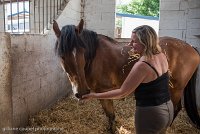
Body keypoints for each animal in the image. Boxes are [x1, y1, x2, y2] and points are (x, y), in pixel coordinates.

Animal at [53, 19, 200, 133]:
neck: (94, 56)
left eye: (82, 51)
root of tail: (191, 47)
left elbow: (111, 115)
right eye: (62, 55)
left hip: (176, 89)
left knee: (176, 108)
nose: (82, 92)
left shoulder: (104, 92)